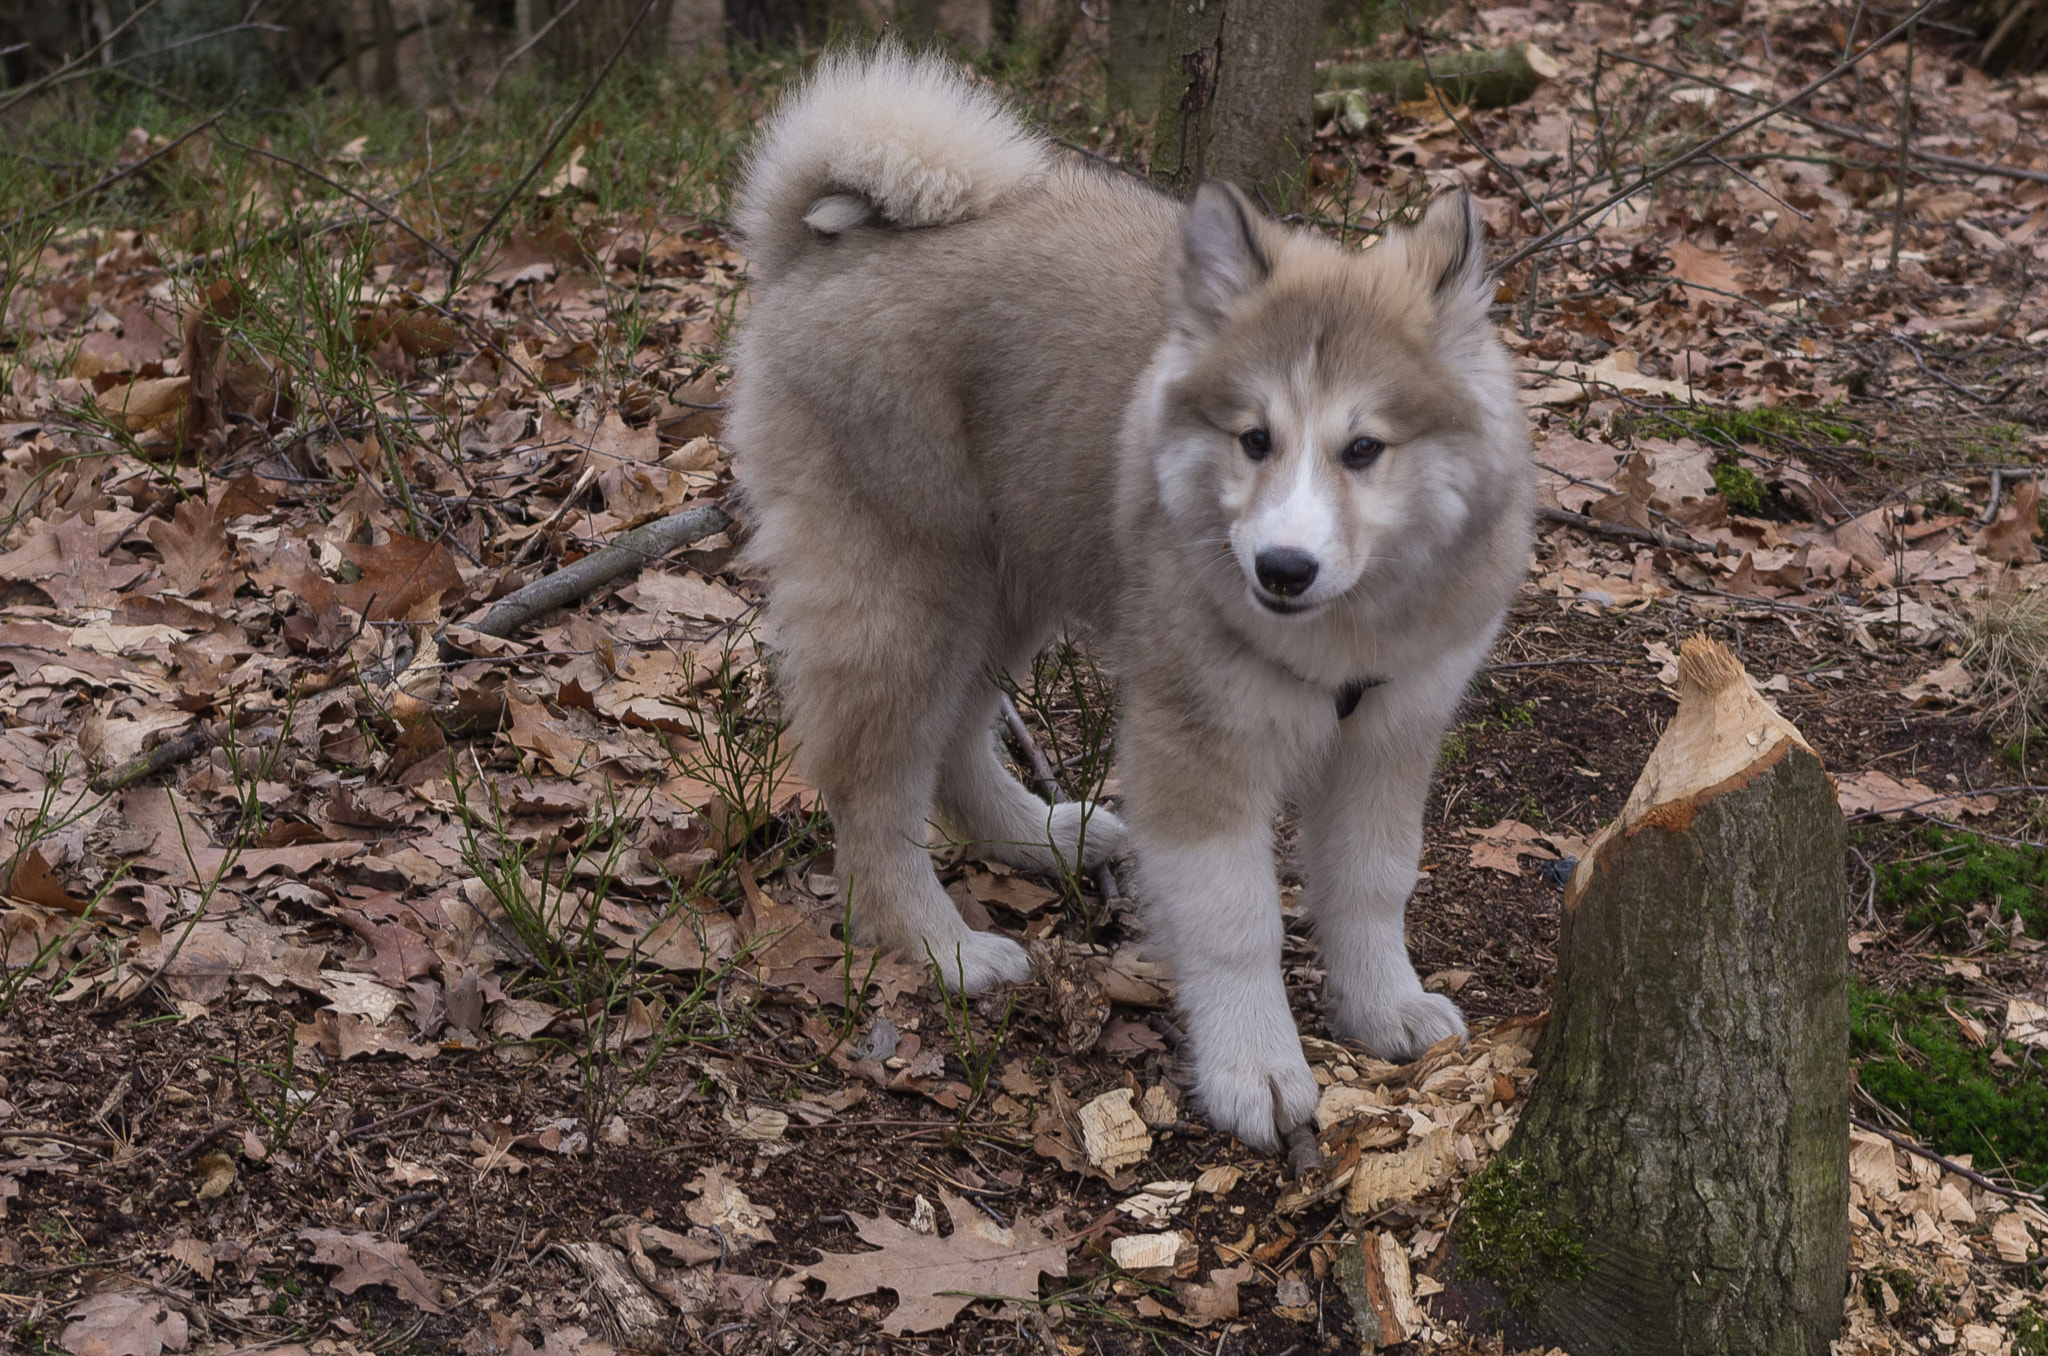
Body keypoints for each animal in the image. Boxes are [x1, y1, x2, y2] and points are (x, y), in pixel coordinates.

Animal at [729, 47, 1531, 1147]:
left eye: (1364, 449)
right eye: (1254, 439)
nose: (1281, 570)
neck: (1344, 627)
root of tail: (816, 249)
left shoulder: (1391, 730)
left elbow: (1373, 882)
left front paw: (1382, 1005)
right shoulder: (1197, 744)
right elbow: (1236, 922)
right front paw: (1254, 1069)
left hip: (1007, 575)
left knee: (956, 740)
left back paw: (1038, 837)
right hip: (908, 590)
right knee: (874, 788)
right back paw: (938, 948)